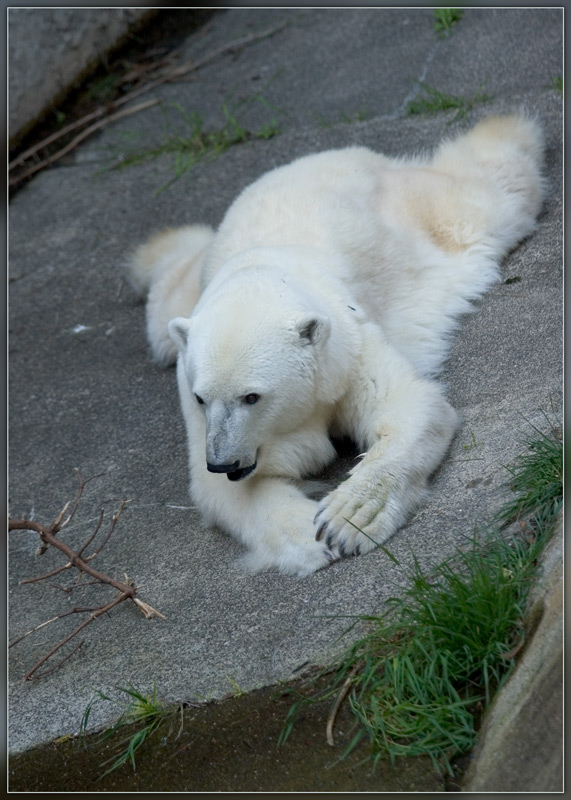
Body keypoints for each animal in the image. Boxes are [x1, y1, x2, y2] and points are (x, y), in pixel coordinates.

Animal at [128, 112, 544, 576]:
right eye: (203, 398)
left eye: (252, 396)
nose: (223, 461)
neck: (262, 271)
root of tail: (337, 153)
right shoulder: (199, 403)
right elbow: (223, 491)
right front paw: (309, 537)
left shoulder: (347, 348)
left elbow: (410, 406)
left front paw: (347, 518)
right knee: (167, 310)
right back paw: (159, 250)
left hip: (425, 214)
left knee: (493, 191)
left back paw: (504, 130)